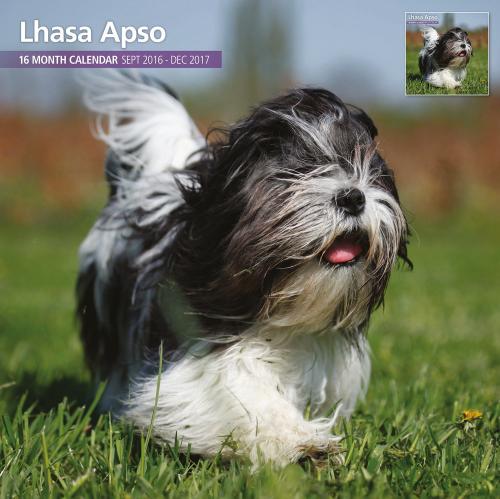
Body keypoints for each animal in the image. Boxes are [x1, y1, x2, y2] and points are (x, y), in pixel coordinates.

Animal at [77, 71, 411, 467]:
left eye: (362, 166)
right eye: (295, 171)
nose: (353, 197)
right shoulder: (197, 354)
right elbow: (239, 394)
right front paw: (300, 442)